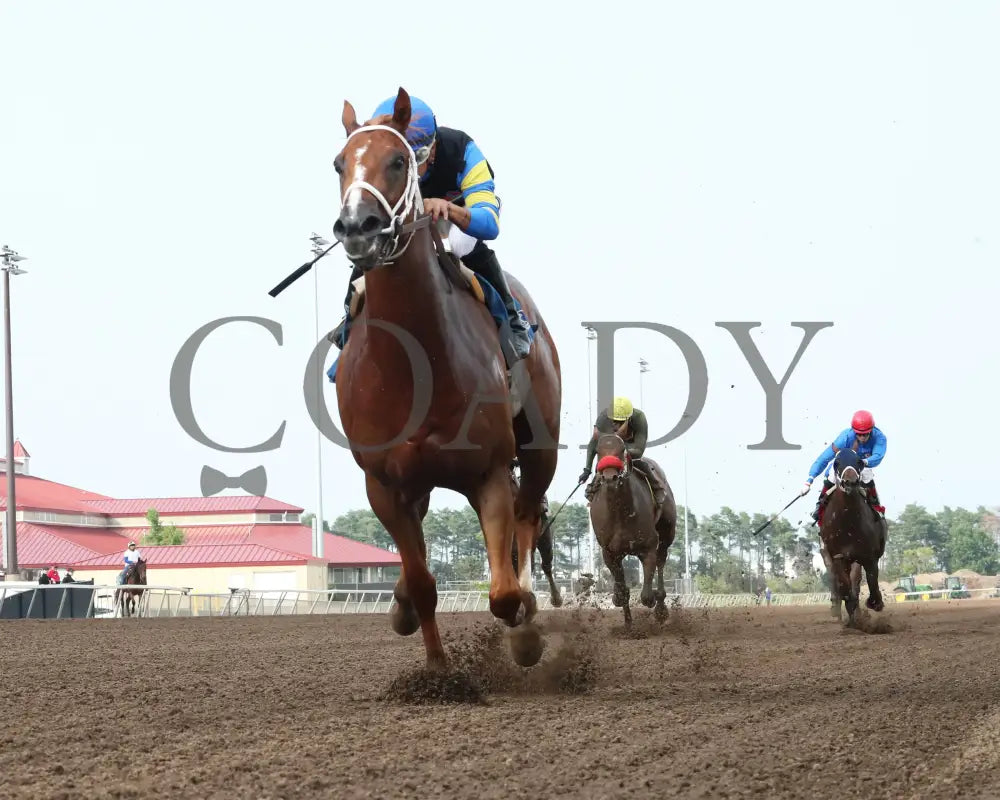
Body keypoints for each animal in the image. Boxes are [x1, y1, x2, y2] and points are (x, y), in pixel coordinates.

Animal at [330, 90, 560, 672]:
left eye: (398, 161)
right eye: (340, 163)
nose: (358, 226)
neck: (415, 361)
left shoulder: (491, 469)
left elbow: (502, 592)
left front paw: (524, 634)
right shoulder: (383, 482)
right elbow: (421, 580)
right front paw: (436, 669)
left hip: (540, 449)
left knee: (528, 520)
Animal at [584, 434, 680, 628]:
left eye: (622, 449)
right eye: (598, 451)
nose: (610, 477)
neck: (620, 511)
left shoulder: (648, 547)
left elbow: (646, 596)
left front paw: (656, 607)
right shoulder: (609, 552)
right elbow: (622, 593)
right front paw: (628, 624)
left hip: (666, 534)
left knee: (661, 561)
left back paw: (661, 609)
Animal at [816, 450, 888, 624]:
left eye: (859, 462)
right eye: (837, 463)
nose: (850, 482)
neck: (848, 522)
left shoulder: (869, 557)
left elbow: (871, 583)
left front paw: (874, 603)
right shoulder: (838, 556)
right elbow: (844, 587)